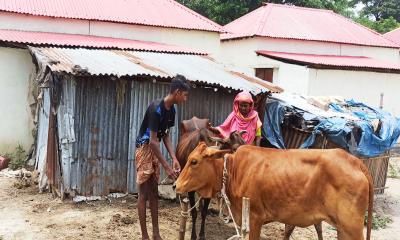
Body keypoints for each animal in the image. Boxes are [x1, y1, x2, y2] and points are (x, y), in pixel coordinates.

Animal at [177, 143, 374, 239]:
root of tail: (355, 161)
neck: (234, 171)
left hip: (351, 228)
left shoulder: (254, 219)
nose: (176, 185)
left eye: (194, 161)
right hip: (342, 229)